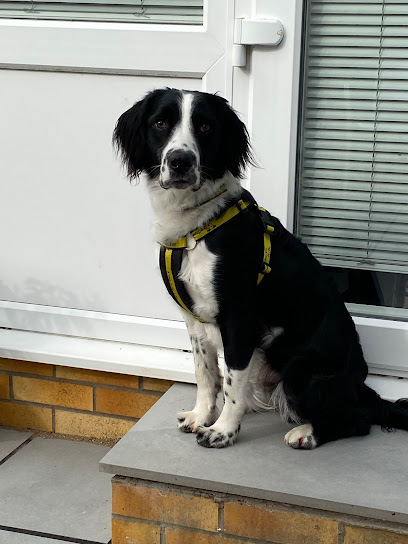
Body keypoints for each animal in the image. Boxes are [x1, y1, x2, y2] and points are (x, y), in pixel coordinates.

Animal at [113, 87, 408, 448]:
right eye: (160, 123)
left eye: (205, 127)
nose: (180, 161)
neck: (196, 227)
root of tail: (360, 387)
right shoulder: (194, 319)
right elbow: (205, 373)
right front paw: (201, 416)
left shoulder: (239, 318)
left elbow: (232, 382)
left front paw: (222, 430)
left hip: (299, 369)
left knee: (360, 420)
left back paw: (306, 433)